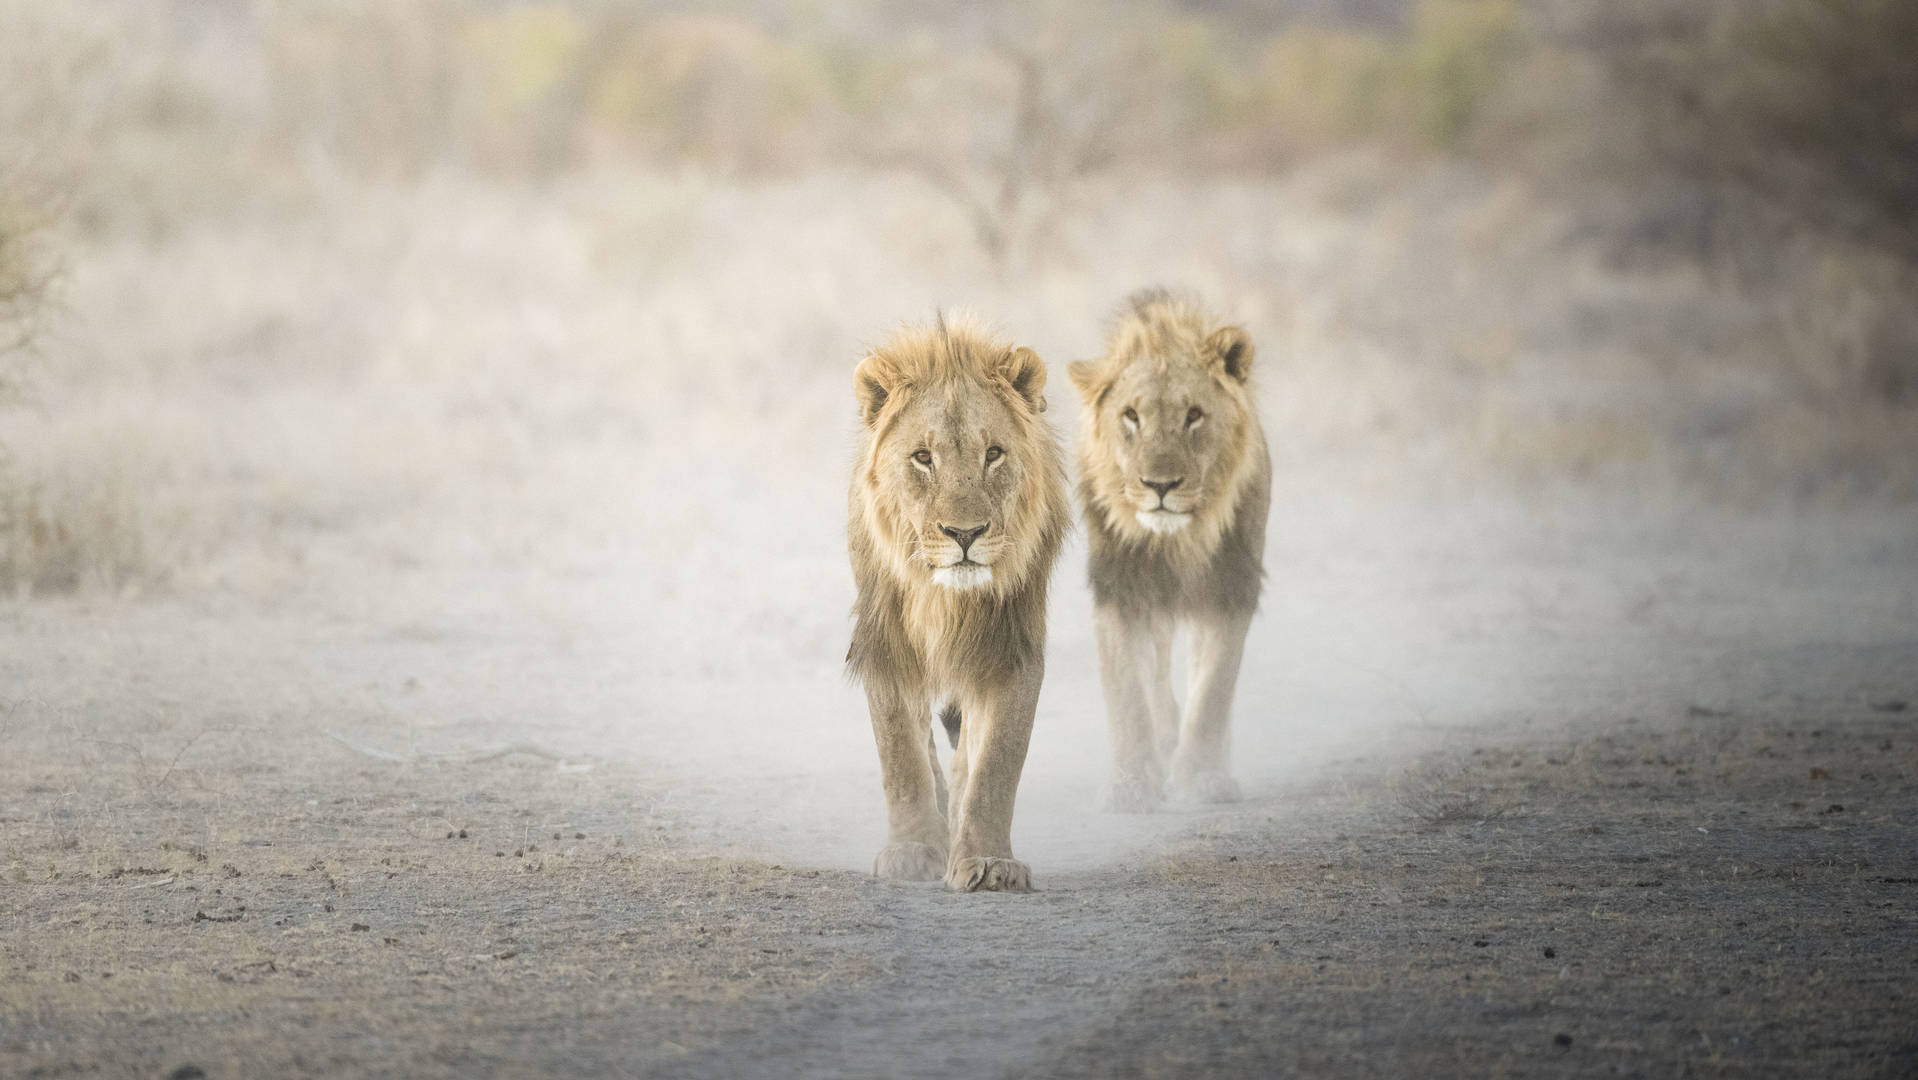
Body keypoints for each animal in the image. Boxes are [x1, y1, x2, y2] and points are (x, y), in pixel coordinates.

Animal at [847, 314, 1074, 897]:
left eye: (993, 453)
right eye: (923, 457)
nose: (965, 534)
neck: (946, 598)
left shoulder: (1012, 649)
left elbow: (996, 763)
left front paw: (989, 861)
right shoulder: (885, 643)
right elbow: (900, 755)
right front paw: (911, 851)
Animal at [1066, 291, 1273, 817]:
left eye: (1193, 415)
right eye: (1131, 416)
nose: (1160, 486)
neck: (1177, 540)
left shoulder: (1229, 588)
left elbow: (1214, 690)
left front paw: (1203, 779)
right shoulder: (1120, 591)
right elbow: (1127, 696)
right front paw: (1132, 785)